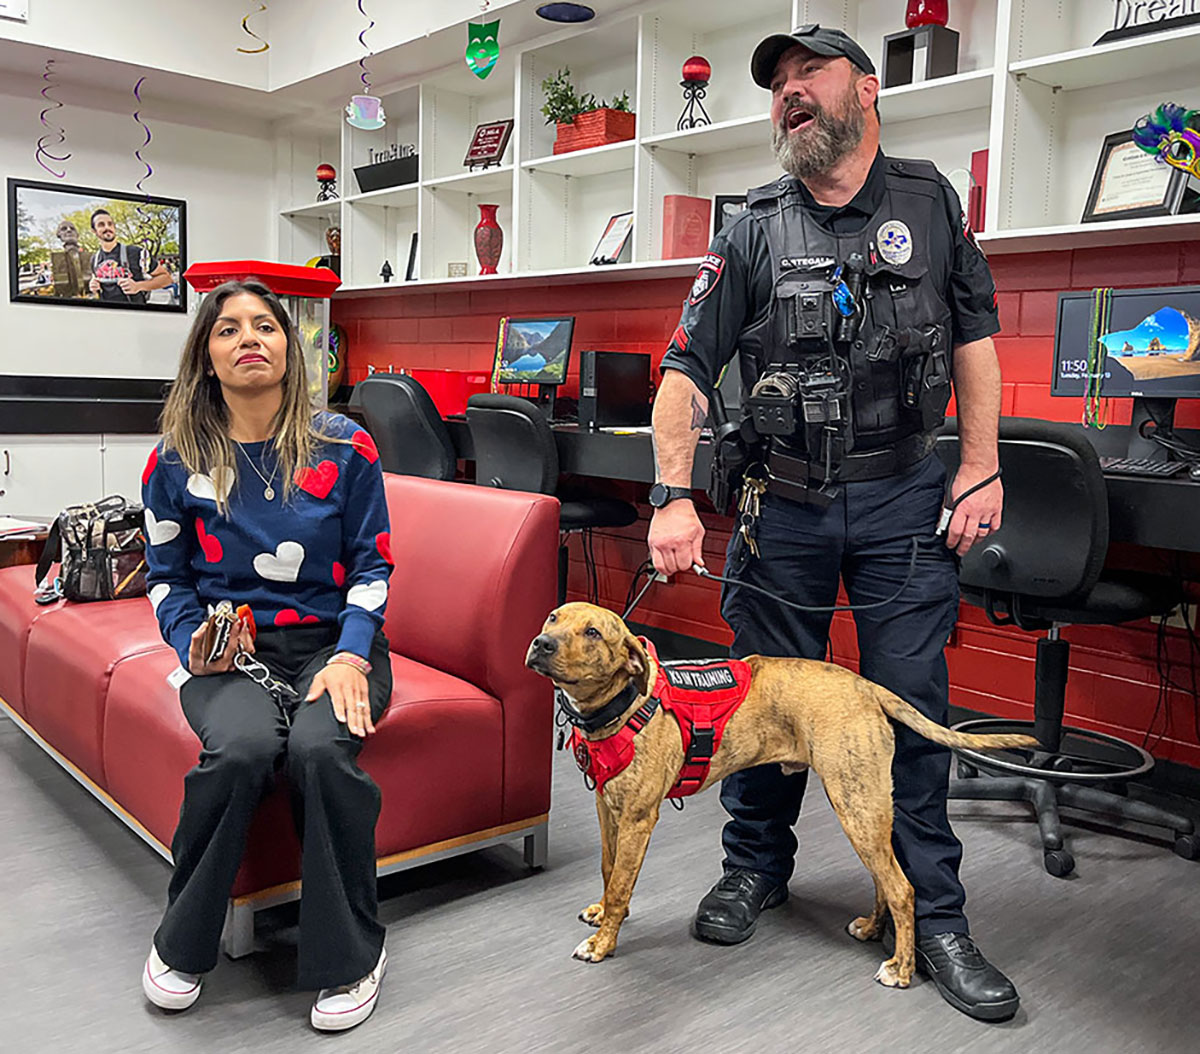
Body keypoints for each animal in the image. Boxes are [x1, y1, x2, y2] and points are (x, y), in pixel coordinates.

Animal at [528, 602, 1041, 989]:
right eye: (553, 617)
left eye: (593, 632)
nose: (540, 643)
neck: (620, 705)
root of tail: (866, 686)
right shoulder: (607, 808)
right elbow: (608, 868)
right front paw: (601, 913)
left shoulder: (638, 817)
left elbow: (621, 885)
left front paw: (604, 942)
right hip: (868, 810)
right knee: (886, 879)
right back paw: (873, 928)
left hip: (855, 805)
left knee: (903, 888)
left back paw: (901, 968)